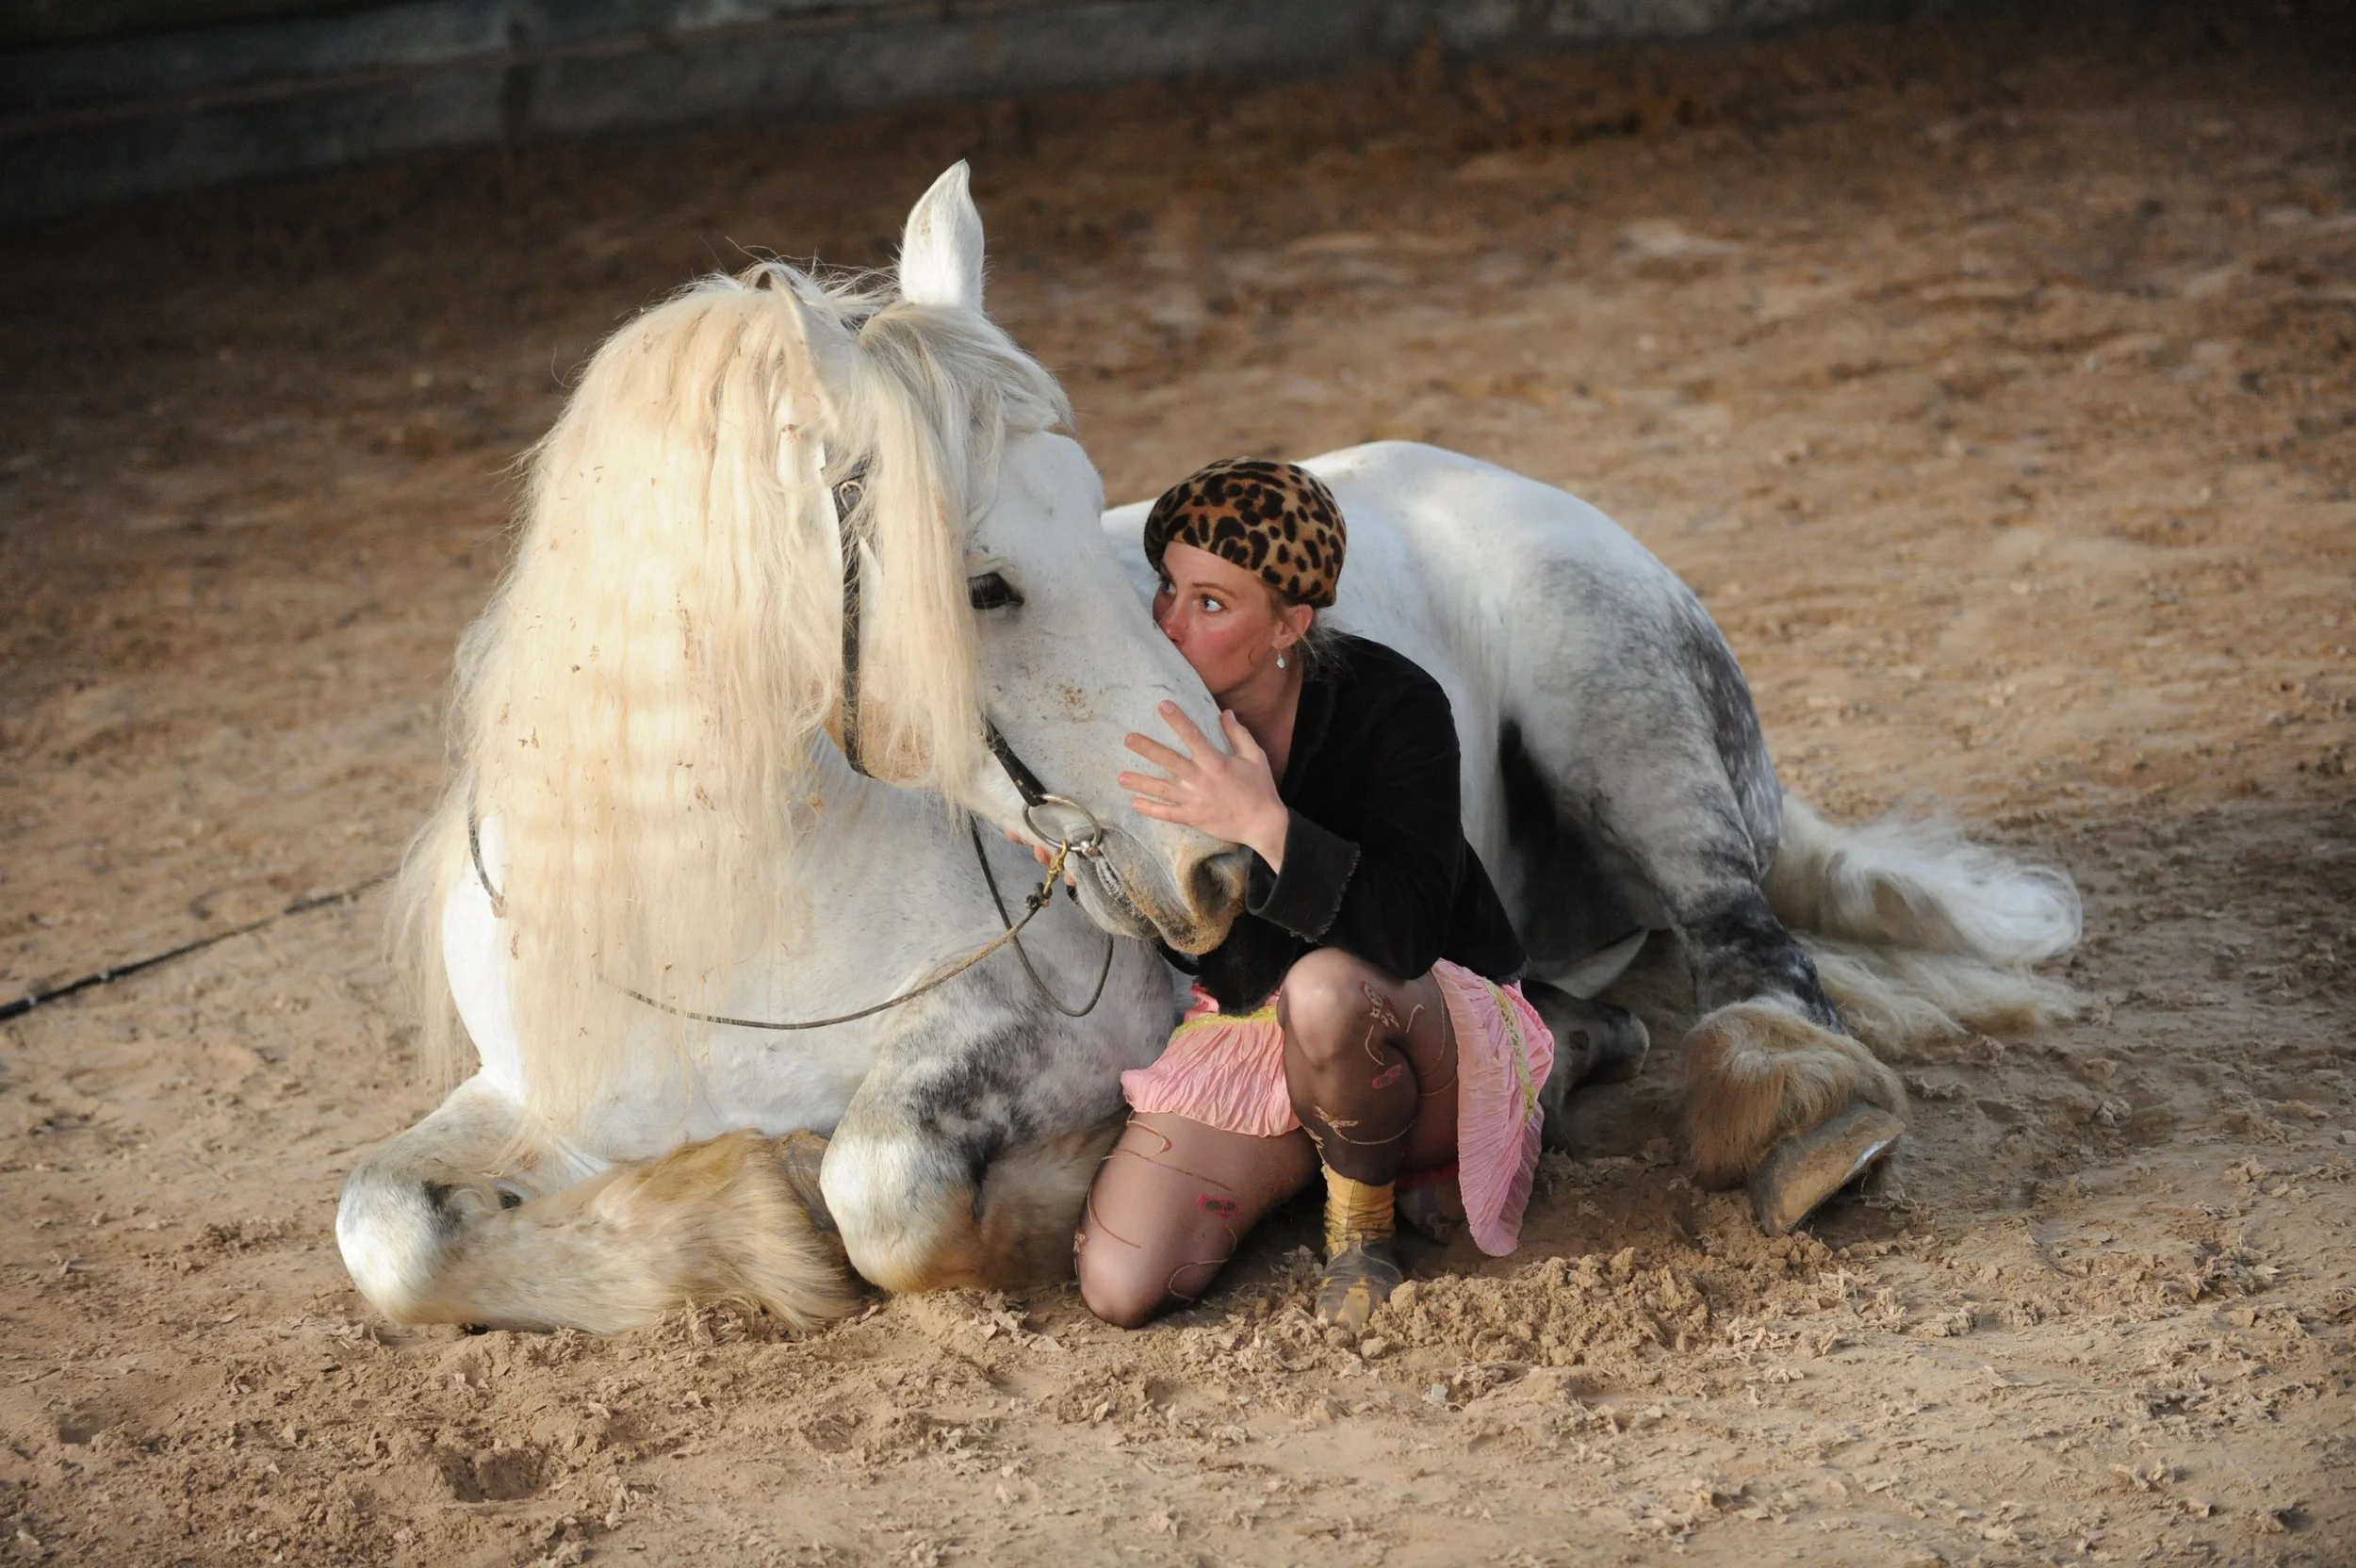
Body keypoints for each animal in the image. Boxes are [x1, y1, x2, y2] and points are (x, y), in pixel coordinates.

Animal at [336, 164, 2078, 1332]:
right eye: (980, 582)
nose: (1226, 870)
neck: (732, 903)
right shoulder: (541, 1089)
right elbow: (387, 1227)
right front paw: (728, 1226)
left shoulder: (1044, 1040)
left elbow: (881, 1190)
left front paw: (920, 1205)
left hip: (1619, 715)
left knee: (1749, 951)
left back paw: (1794, 1119)